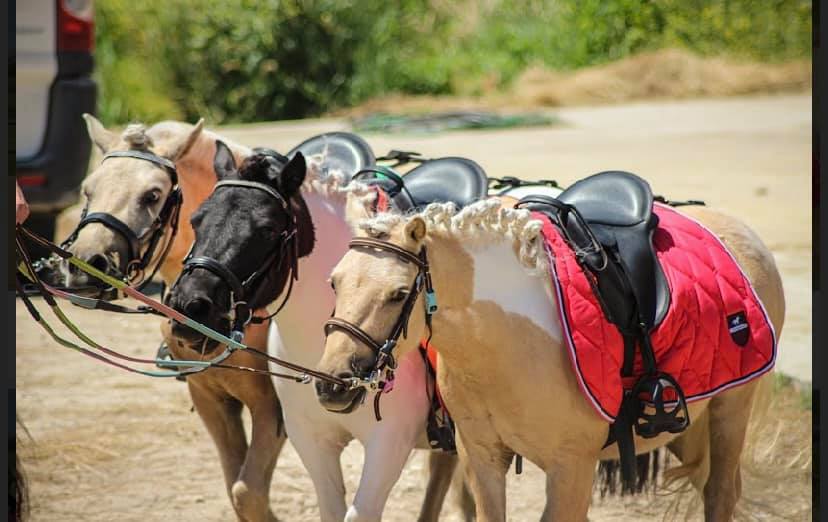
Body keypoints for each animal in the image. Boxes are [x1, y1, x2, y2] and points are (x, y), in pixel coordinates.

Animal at [62, 115, 288, 520]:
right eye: (88, 190)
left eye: (152, 195)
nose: (87, 263)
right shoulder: (210, 399)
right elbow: (236, 488)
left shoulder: (272, 407)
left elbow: (248, 492)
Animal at [316, 193, 784, 516]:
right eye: (334, 281)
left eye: (398, 294)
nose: (333, 383)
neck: (502, 345)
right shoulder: (482, 459)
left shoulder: (572, 468)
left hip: (731, 406)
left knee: (719, 493)